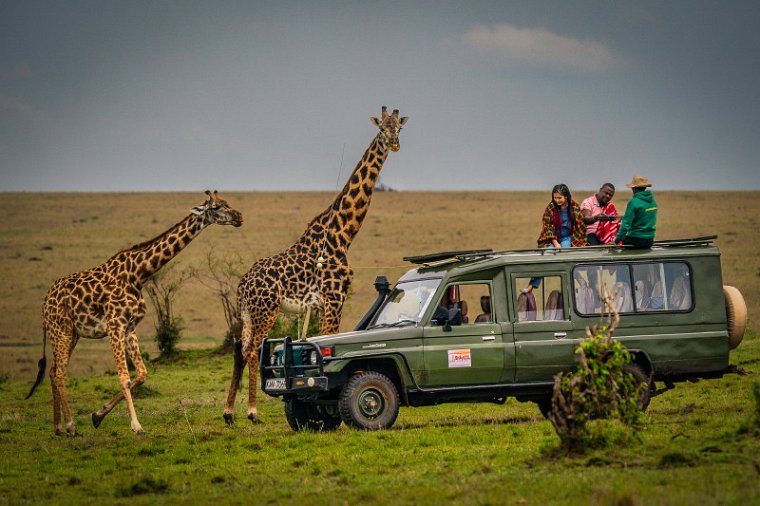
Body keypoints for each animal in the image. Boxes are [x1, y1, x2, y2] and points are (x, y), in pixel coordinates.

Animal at [26, 190, 242, 434]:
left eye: (226, 202)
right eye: (215, 207)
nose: (239, 217)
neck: (139, 274)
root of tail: (45, 302)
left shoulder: (130, 328)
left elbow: (141, 374)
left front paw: (98, 415)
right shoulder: (114, 326)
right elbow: (124, 377)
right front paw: (136, 426)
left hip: (72, 333)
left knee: (53, 371)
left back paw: (58, 427)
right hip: (60, 330)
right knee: (61, 372)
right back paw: (71, 426)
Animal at [223, 107, 406, 426]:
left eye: (400, 128)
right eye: (382, 128)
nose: (394, 144)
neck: (343, 234)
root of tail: (243, 284)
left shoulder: (320, 304)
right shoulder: (335, 296)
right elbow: (331, 343)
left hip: (246, 311)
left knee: (238, 348)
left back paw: (229, 412)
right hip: (265, 310)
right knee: (252, 349)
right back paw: (253, 412)